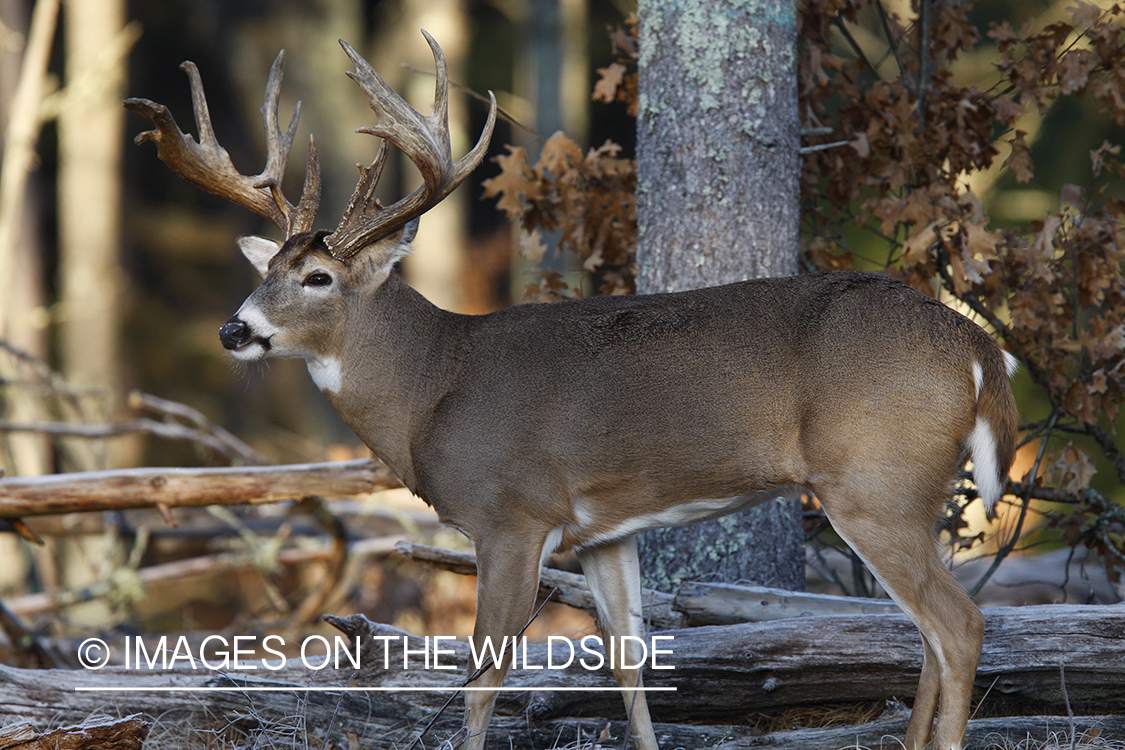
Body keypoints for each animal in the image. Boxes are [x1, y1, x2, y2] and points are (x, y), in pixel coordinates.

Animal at [125, 32, 1021, 750]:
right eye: (267, 269)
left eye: (316, 277)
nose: (234, 330)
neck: (431, 385)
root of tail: (977, 347)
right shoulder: (603, 530)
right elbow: (628, 665)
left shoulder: (511, 514)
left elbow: (484, 677)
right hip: (904, 490)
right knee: (930, 634)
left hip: (872, 482)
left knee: (959, 625)